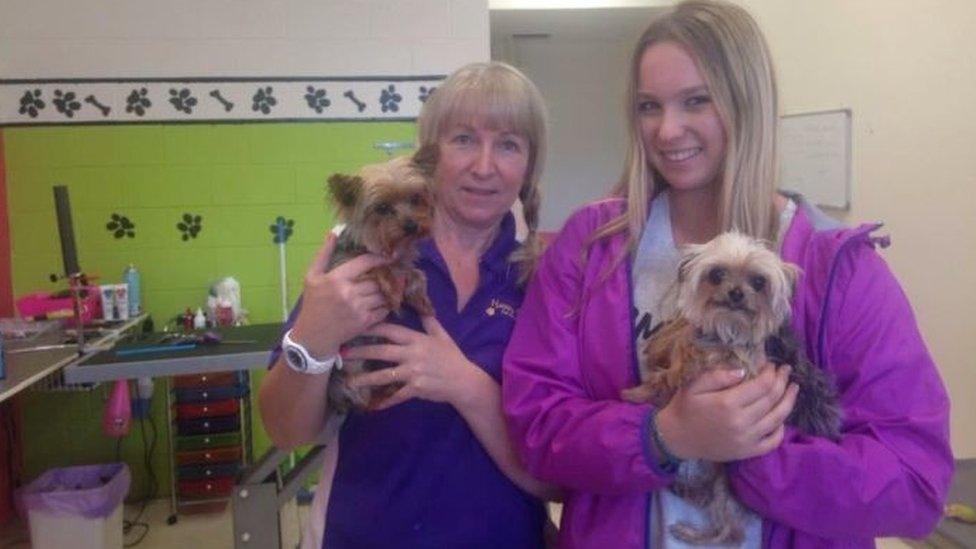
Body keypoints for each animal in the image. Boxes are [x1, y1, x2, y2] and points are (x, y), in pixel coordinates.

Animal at [324, 154, 434, 412]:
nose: (412, 225)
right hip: (348, 381)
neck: (390, 250)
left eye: (415, 198)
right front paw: (393, 292)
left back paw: (392, 386)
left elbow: (416, 274)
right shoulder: (345, 269)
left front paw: (422, 301)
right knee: (364, 400)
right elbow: (379, 267)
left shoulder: (404, 266)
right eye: (382, 208)